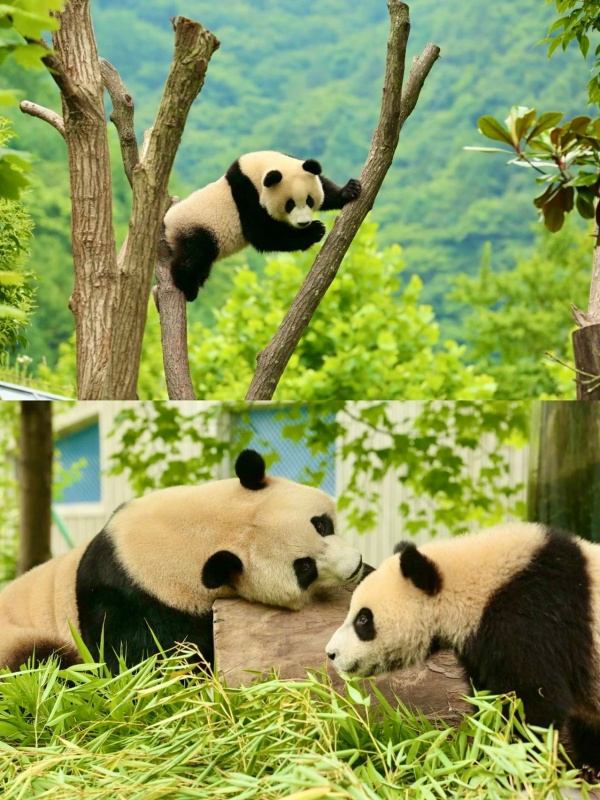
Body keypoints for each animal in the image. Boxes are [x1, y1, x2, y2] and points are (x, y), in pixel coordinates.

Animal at [0, 450, 367, 676]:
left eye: (321, 525)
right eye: (303, 568)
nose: (356, 564)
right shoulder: (133, 605)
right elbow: (144, 665)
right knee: (41, 665)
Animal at [163, 150, 361, 302]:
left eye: (309, 200)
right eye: (289, 204)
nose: (303, 223)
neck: (257, 170)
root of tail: (167, 225)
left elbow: (324, 186)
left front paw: (349, 190)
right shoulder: (246, 194)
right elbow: (261, 234)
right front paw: (315, 231)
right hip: (197, 229)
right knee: (194, 257)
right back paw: (188, 287)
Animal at [326, 522, 600, 772]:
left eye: (363, 619)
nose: (331, 653)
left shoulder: (533, 617)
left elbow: (536, 701)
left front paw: (514, 763)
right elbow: (490, 701)